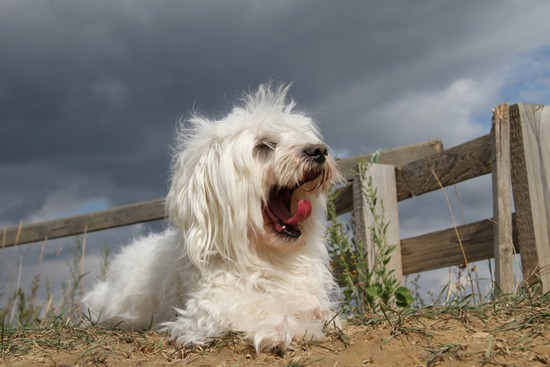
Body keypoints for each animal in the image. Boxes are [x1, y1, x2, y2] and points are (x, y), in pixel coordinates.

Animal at [82, 83, 342, 354]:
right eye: (263, 146)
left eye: (302, 138)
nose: (319, 151)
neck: (265, 257)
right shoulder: (204, 310)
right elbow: (253, 306)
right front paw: (284, 327)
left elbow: (308, 301)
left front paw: (312, 313)